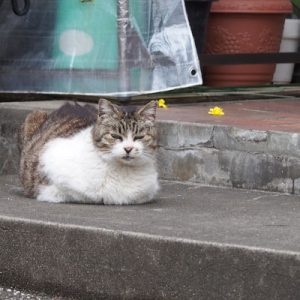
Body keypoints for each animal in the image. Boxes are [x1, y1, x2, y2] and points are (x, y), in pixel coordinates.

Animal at [18, 99, 159, 205]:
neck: (123, 169)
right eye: (115, 136)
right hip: (33, 116)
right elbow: (71, 194)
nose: (128, 148)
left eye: (139, 137)